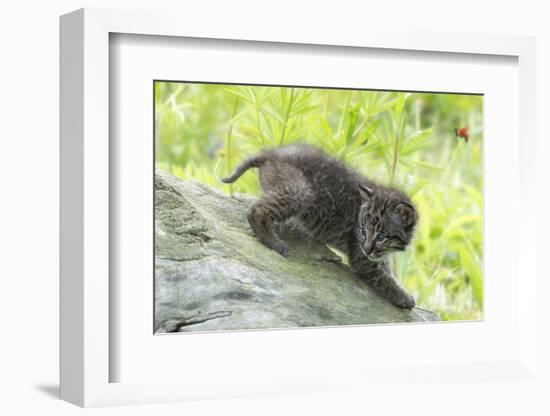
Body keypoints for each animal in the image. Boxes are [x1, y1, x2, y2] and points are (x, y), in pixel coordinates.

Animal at [223, 145, 418, 308]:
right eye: (363, 230)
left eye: (381, 236)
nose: (367, 248)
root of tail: (273, 153)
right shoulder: (362, 260)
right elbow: (384, 279)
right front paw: (405, 298)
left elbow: (387, 271)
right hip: (300, 192)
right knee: (255, 210)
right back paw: (274, 242)